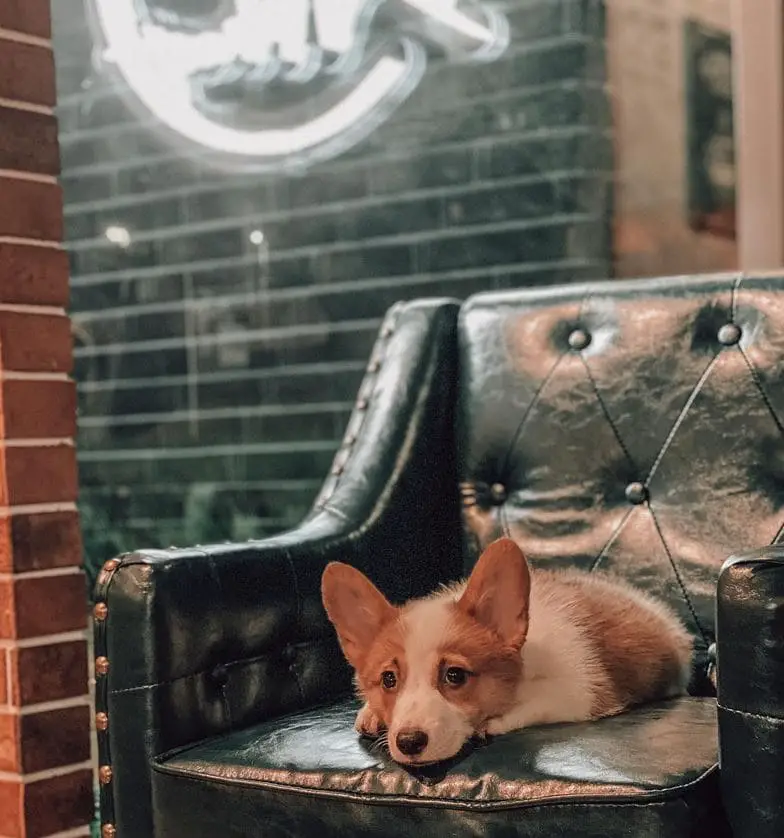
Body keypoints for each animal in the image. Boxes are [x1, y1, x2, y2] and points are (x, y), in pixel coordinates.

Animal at [322, 540, 688, 768]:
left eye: (454, 675)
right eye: (388, 679)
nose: (409, 742)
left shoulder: (582, 693)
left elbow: (534, 705)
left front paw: (493, 723)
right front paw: (370, 712)